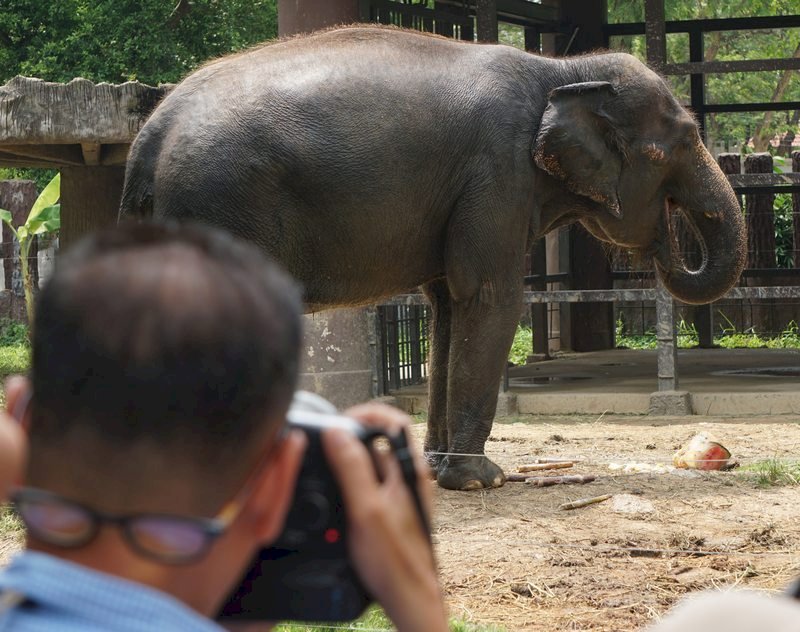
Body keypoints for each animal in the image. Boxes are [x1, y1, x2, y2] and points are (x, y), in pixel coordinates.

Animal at [119, 25, 747, 491]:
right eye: (674, 146)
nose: (663, 246)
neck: (561, 72)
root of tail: (148, 135)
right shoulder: (496, 173)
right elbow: (489, 296)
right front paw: (480, 479)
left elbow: (447, 304)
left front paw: (435, 470)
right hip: (221, 202)